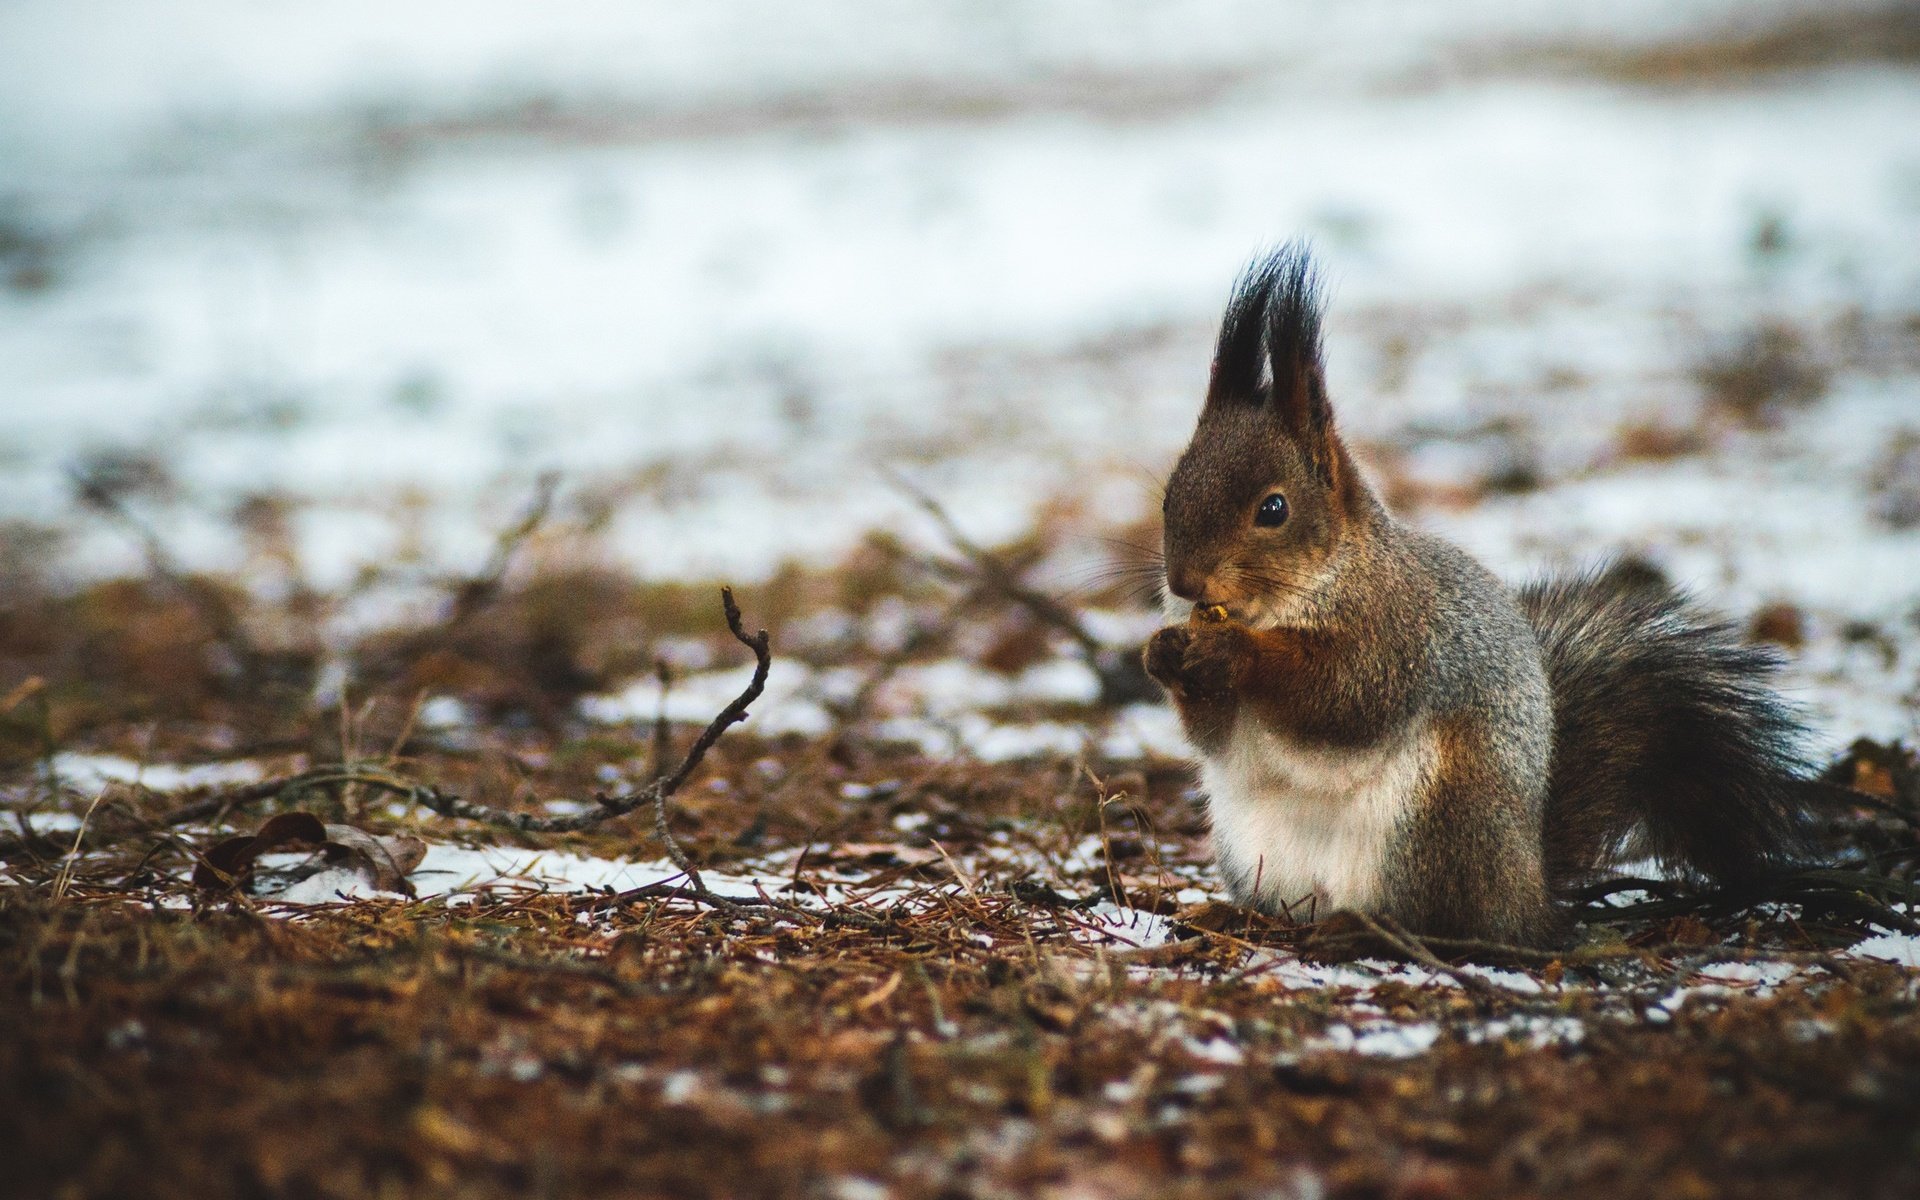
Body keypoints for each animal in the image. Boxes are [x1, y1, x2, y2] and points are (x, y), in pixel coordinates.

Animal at [1144, 247, 1820, 948]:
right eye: (1169, 494)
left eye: (1273, 509)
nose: (1185, 584)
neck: (1300, 593)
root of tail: (1527, 889)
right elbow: (1213, 736)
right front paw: (1161, 653)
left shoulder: (1396, 632)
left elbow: (1343, 695)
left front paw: (1235, 651)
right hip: (1254, 848)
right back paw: (1231, 915)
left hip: (1437, 819)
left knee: (1438, 919)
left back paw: (1360, 928)